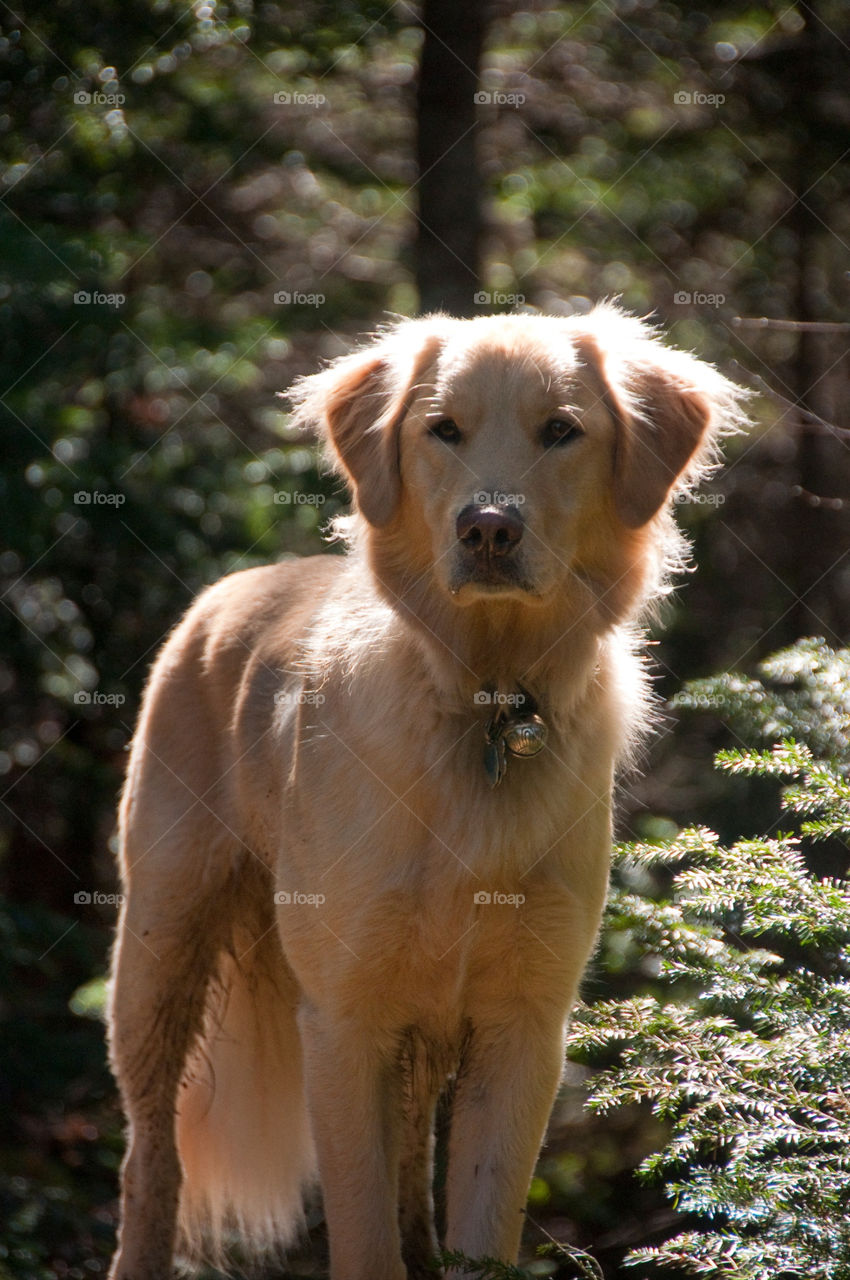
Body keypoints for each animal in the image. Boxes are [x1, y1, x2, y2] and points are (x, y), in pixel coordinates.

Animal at [108, 304, 752, 1274]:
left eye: (560, 431)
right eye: (442, 430)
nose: (488, 529)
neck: (484, 706)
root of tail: (231, 589)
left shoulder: (524, 1029)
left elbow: (481, 1230)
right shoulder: (341, 1021)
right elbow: (364, 1233)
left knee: (410, 1164)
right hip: (159, 950)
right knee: (151, 1155)